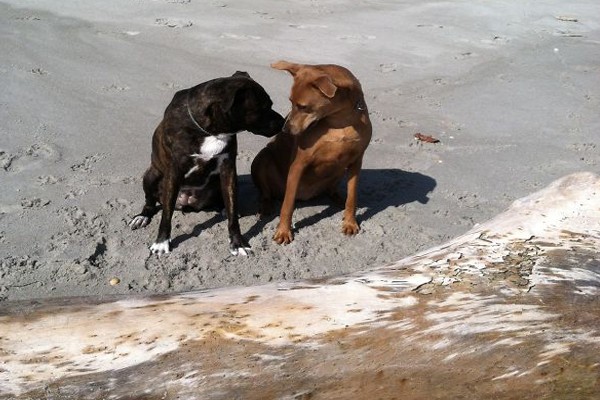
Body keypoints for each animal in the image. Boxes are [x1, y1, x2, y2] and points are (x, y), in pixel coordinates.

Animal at [251, 60, 372, 244]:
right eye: (291, 102)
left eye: (303, 107)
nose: (285, 130)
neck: (340, 121)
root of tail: (306, 196)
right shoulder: (299, 164)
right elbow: (287, 205)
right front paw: (283, 231)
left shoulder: (356, 161)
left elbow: (352, 197)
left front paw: (350, 222)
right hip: (262, 159)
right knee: (266, 192)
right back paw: (265, 206)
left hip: (339, 169)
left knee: (332, 189)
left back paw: (339, 199)